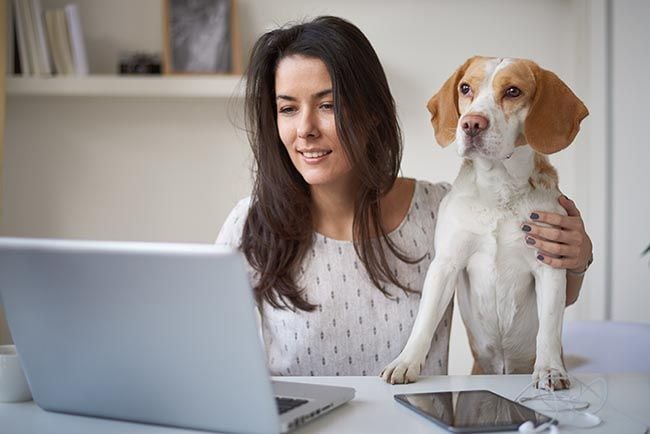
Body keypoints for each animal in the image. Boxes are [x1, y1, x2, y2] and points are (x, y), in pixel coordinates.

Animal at [380, 55, 588, 390]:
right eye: (466, 88)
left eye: (513, 91)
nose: (471, 124)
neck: (498, 192)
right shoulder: (446, 264)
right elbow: (424, 321)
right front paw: (405, 362)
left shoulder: (550, 265)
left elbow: (549, 329)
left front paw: (550, 369)